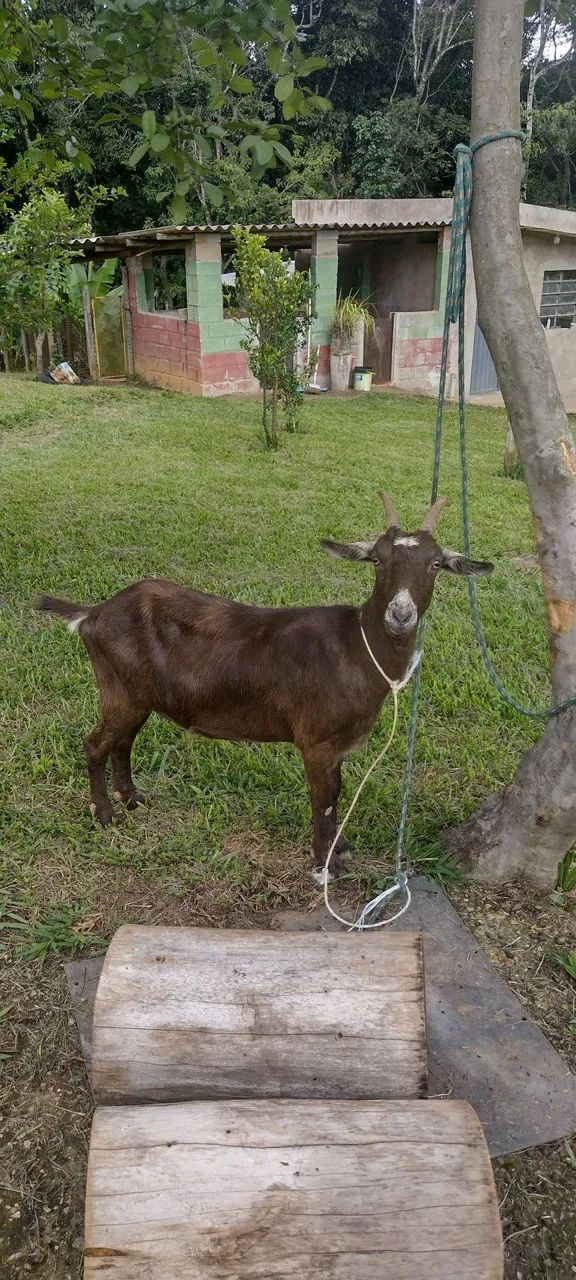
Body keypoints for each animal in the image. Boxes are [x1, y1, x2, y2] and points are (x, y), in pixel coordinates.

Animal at [36, 493, 493, 878]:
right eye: (377, 560)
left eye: (436, 564)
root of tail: (93, 614)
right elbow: (323, 800)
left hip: (136, 694)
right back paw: (105, 815)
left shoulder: (336, 745)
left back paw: (132, 799)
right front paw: (325, 866)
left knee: (123, 742)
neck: (359, 649)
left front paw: (340, 849)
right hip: (121, 690)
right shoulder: (316, 741)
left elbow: (338, 792)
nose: (400, 615)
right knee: (95, 744)